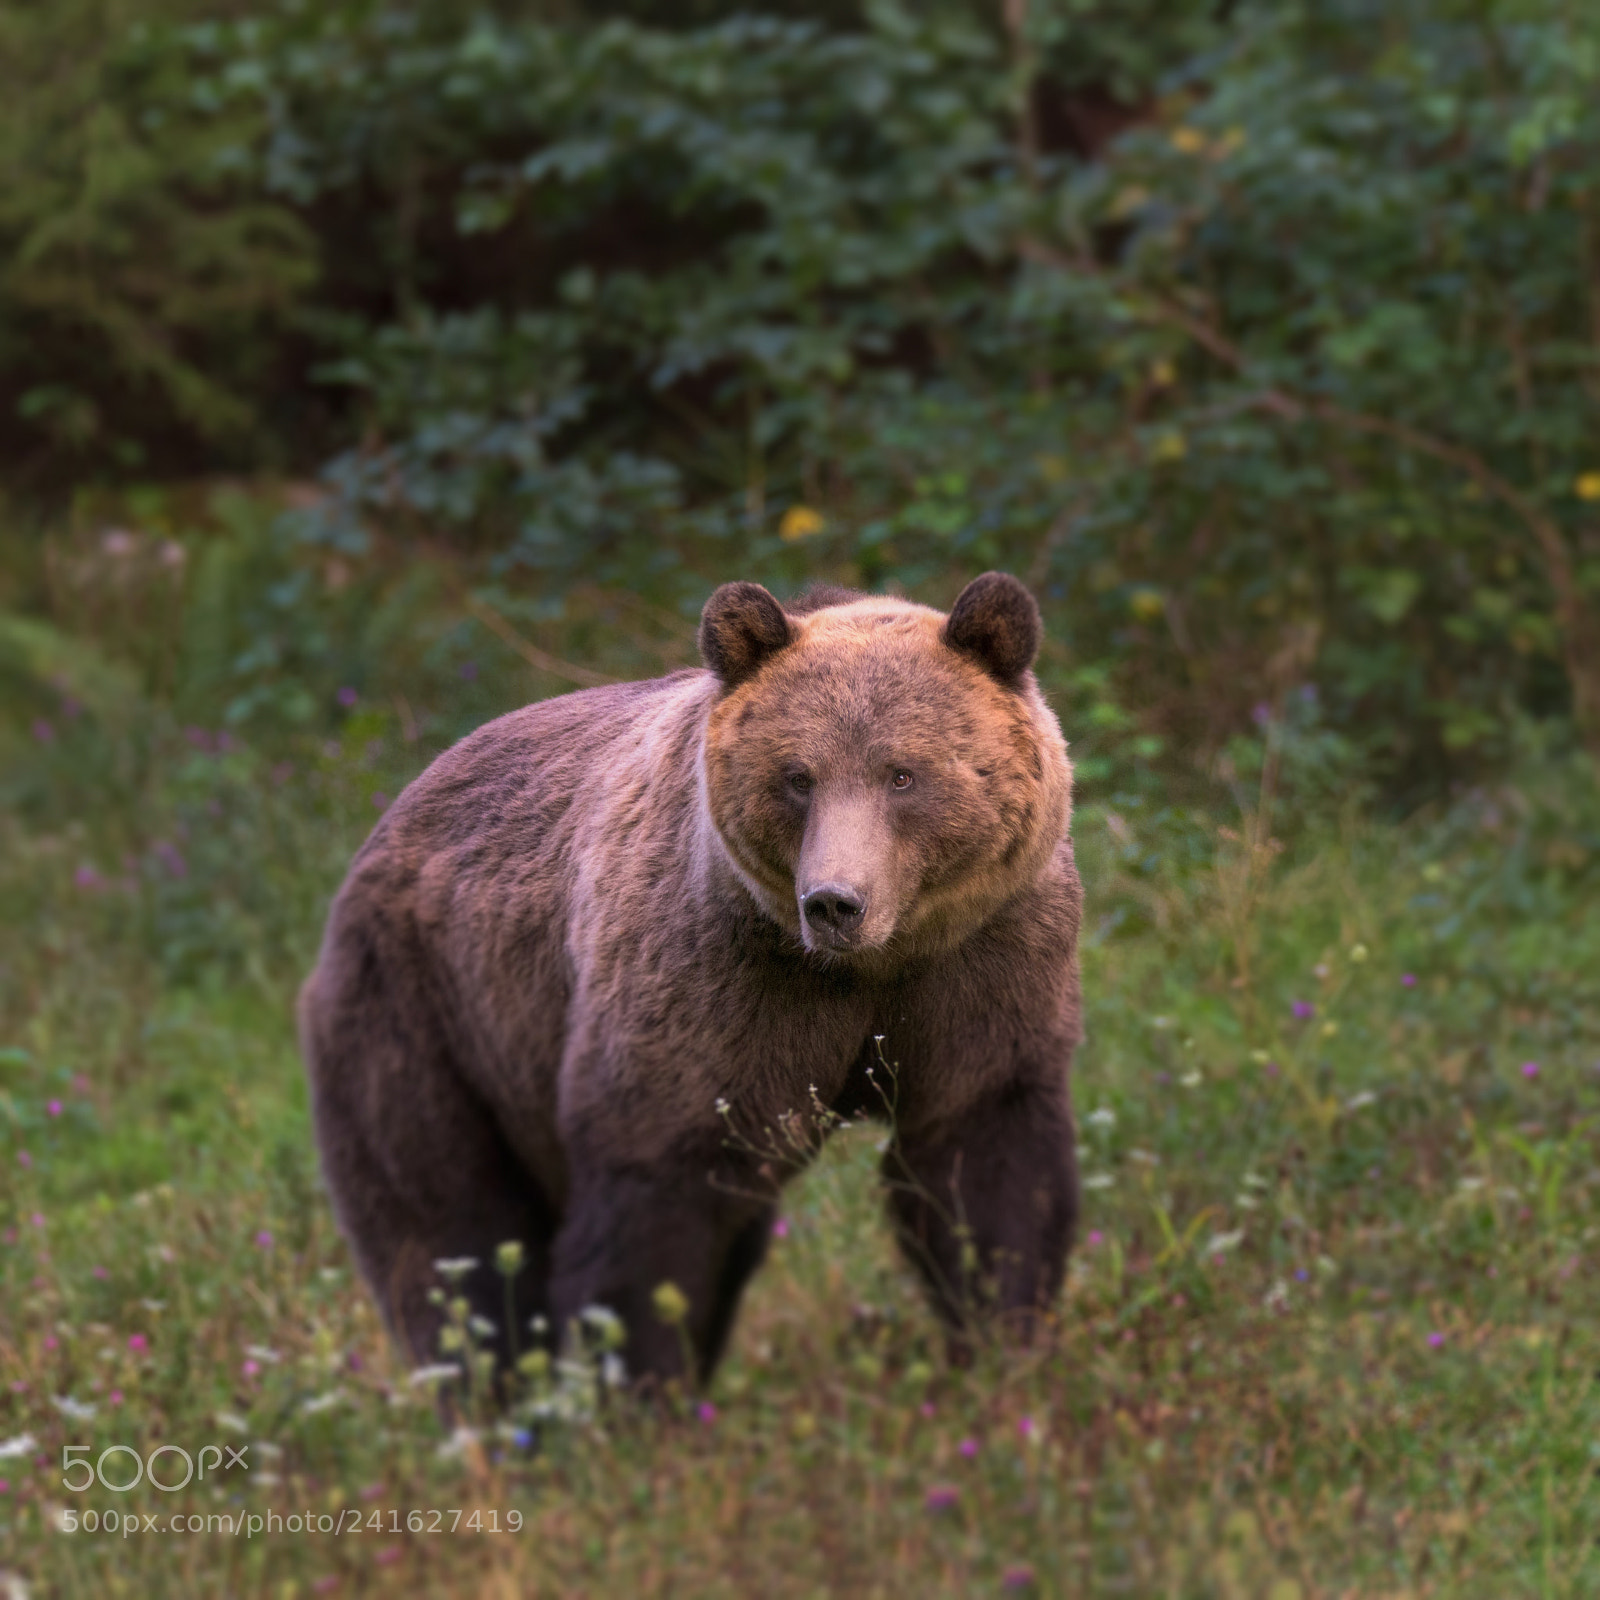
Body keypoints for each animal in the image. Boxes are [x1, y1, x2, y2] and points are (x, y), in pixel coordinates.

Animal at [298, 571, 1082, 1388]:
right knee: (452, 1233)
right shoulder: (718, 981)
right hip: (431, 1014)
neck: (873, 967)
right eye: (798, 777)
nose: (835, 902)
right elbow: (659, 1196)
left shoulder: (982, 965)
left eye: (903, 774)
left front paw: (1005, 1341)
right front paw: (646, 1386)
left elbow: (984, 1163)